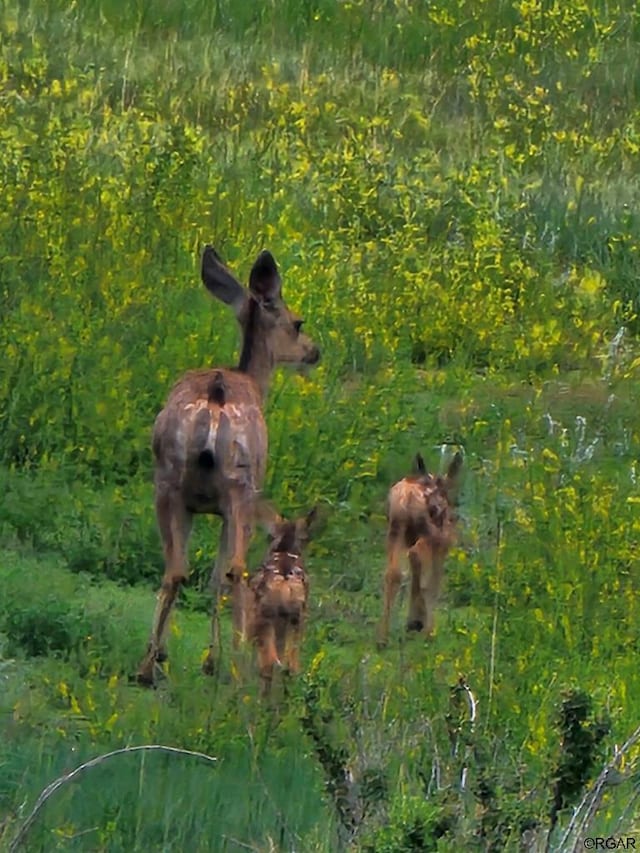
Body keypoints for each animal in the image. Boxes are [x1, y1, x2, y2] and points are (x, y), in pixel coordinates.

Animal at [138, 243, 322, 684]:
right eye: (297, 322)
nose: (314, 351)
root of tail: (216, 397)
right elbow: (220, 574)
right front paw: (214, 659)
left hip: (166, 481)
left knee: (174, 568)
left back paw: (148, 664)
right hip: (239, 485)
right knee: (233, 570)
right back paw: (233, 660)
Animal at [378, 452, 462, 644]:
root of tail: (407, 496)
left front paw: (413, 622)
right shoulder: (442, 543)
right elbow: (434, 579)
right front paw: (420, 624)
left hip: (396, 530)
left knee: (393, 573)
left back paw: (382, 638)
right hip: (428, 534)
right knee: (418, 561)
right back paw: (429, 631)